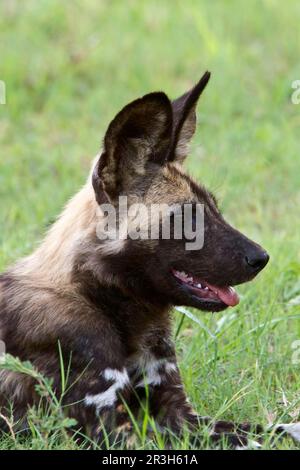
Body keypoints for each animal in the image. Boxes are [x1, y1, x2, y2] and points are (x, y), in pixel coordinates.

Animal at [0, 72, 298, 448]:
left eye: (216, 209)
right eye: (187, 218)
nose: (262, 257)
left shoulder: (180, 414)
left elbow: (275, 430)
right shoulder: (114, 430)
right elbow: (255, 441)